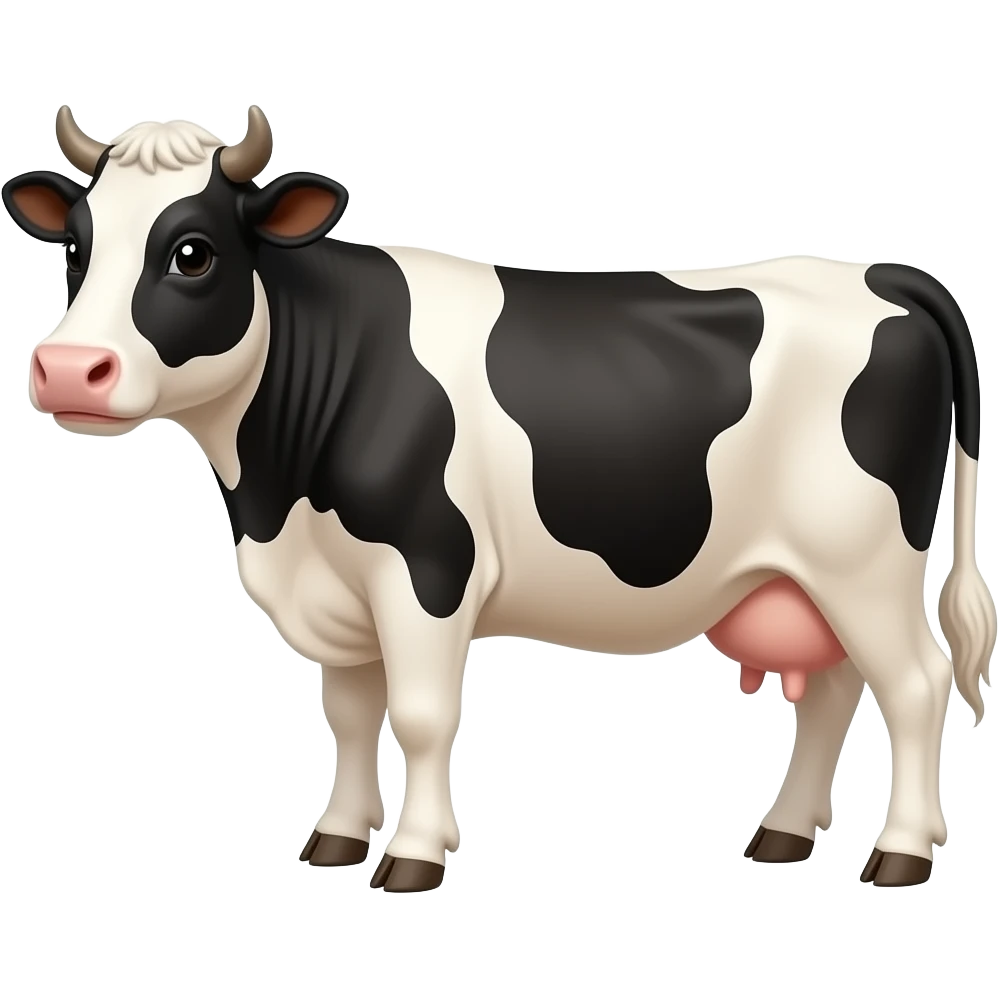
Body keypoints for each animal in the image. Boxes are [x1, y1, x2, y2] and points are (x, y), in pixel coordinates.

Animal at [6, 107, 994, 892]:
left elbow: (420, 715)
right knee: (832, 688)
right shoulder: (340, 586)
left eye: (191, 252)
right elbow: (351, 714)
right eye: (77, 248)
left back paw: (901, 853)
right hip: (802, 573)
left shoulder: (425, 565)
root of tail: (878, 270)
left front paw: (413, 855)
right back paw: (782, 834)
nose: (67, 368)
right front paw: (337, 839)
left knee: (914, 683)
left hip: (862, 559)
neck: (274, 501)